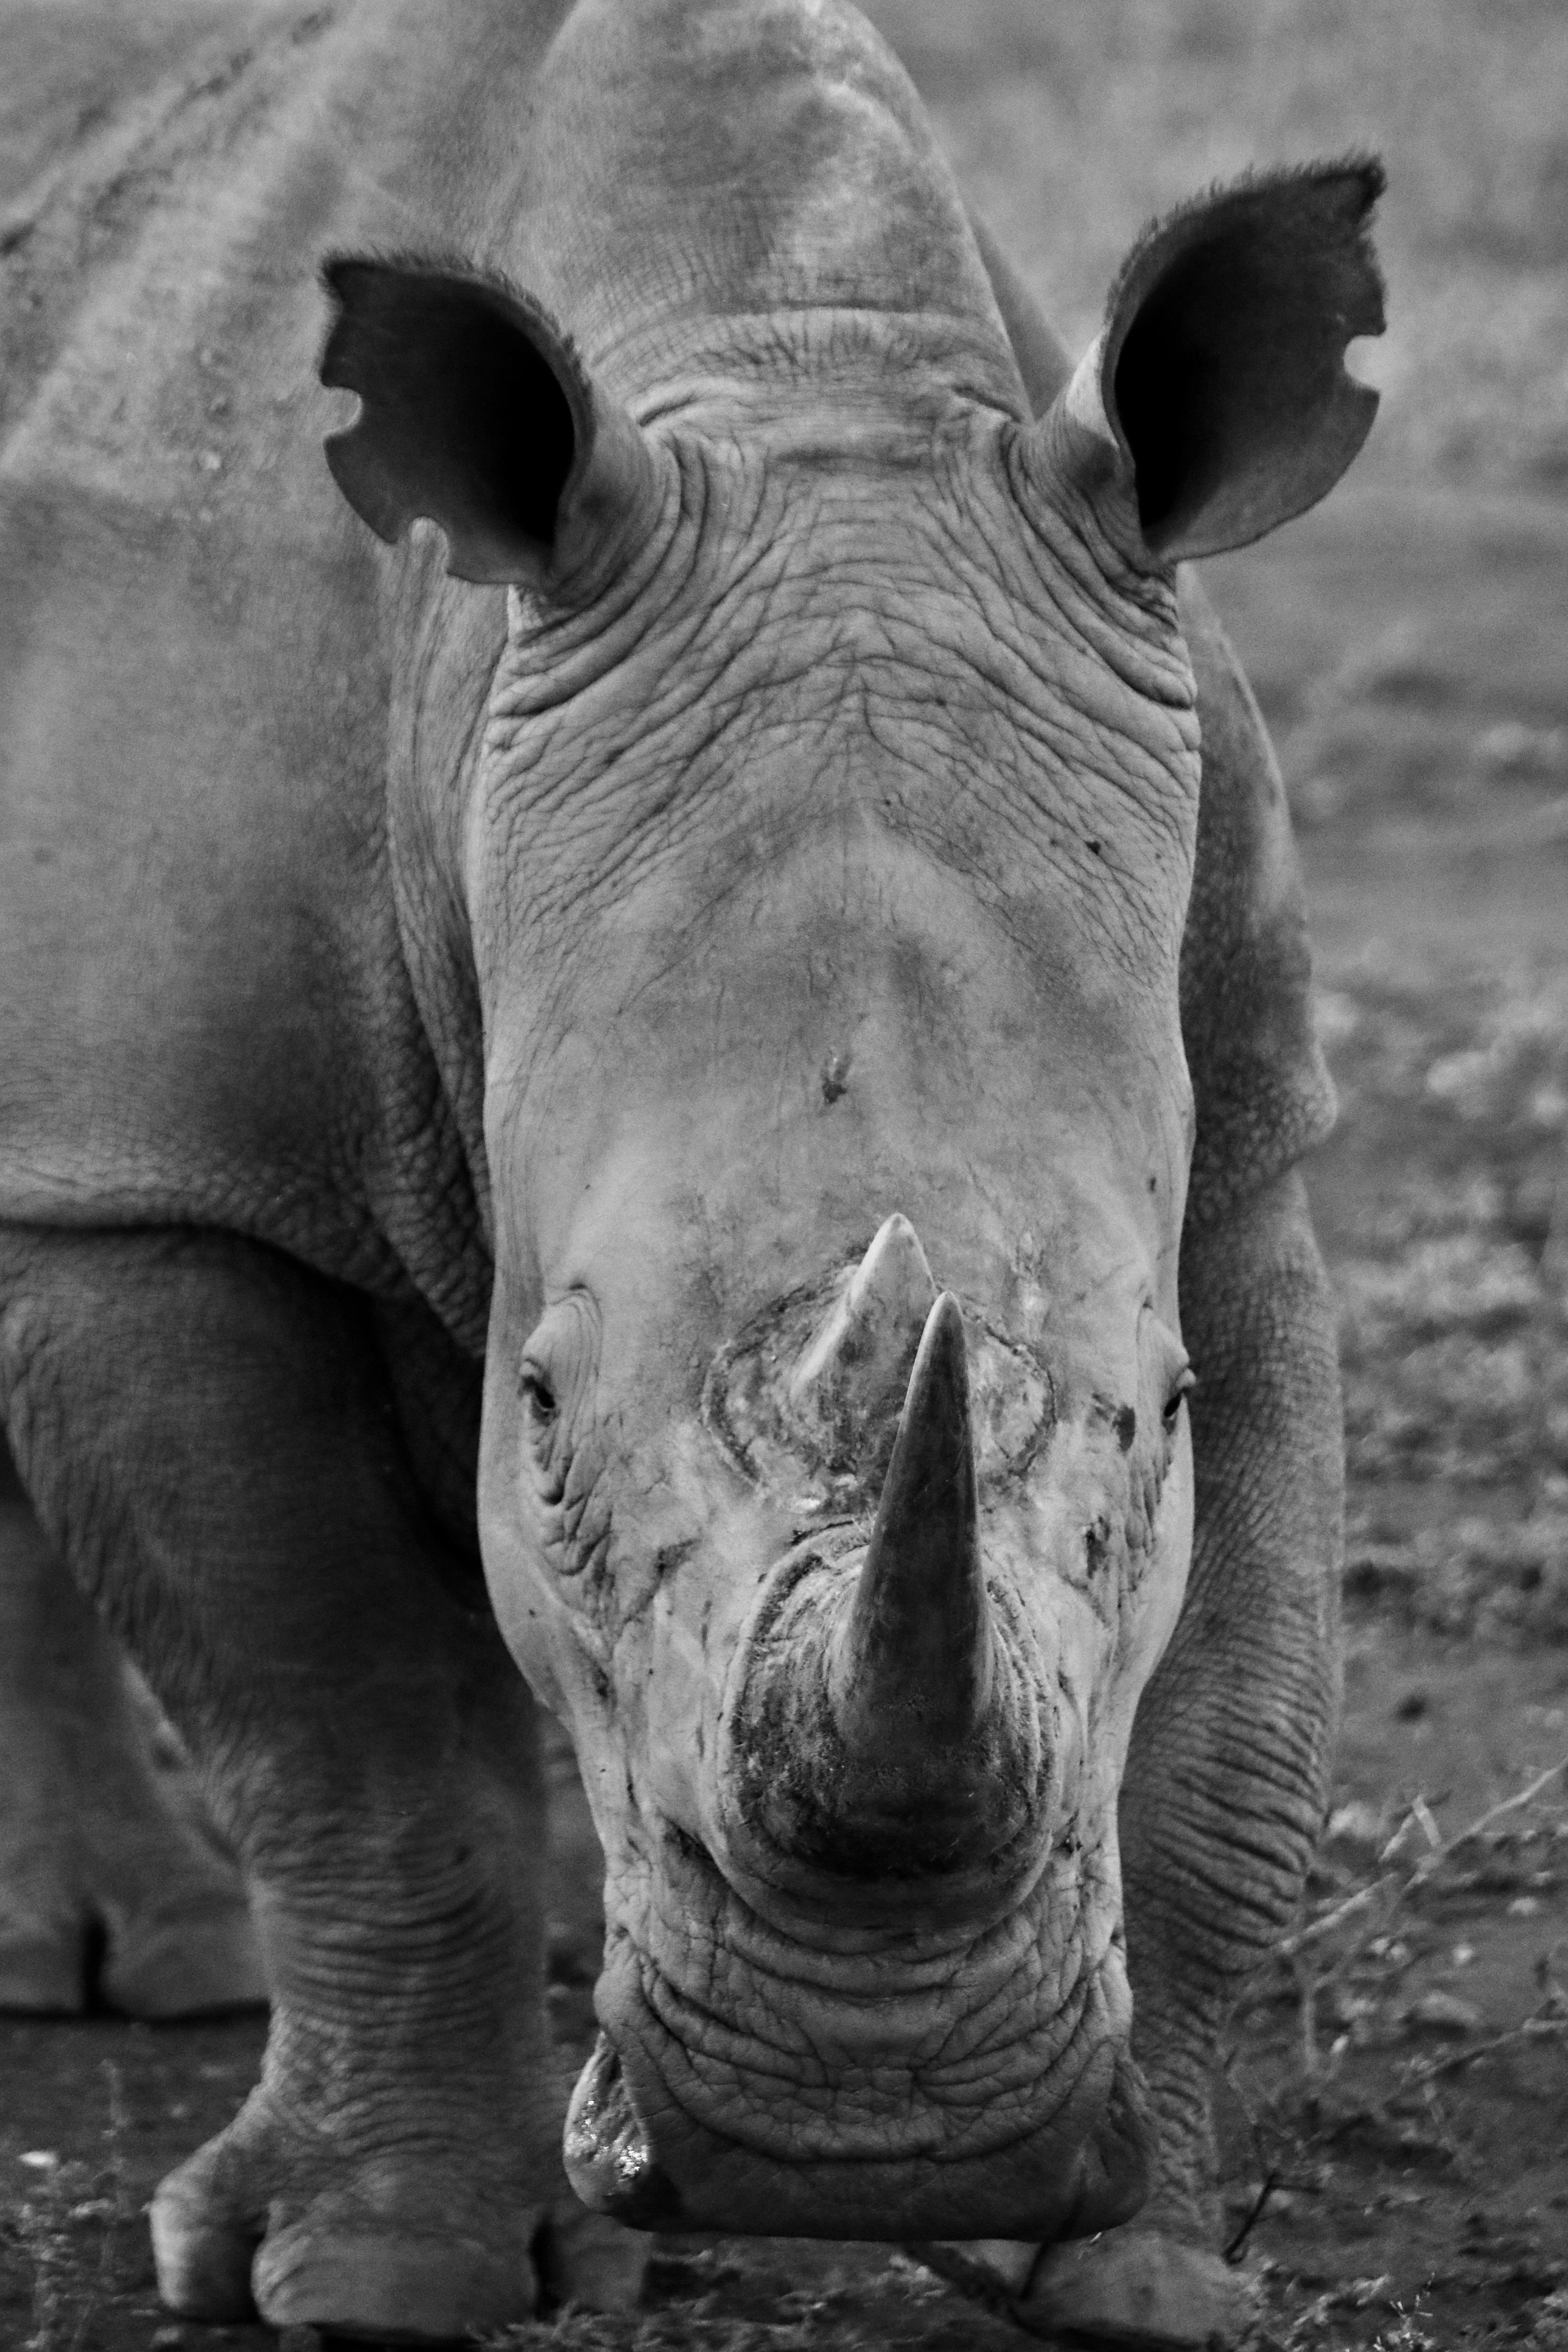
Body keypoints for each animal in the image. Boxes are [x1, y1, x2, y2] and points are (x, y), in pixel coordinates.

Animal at [0, 0, 1379, 2341]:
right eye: (541, 1414)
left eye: (1161, 1414)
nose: (868, 2137)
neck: (788, 369)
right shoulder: (174, 1157)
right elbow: (351, 1739)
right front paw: (367, 2275)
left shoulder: (1243, 1138)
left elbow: (1230, 1748)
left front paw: (1141, 2275)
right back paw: (136, 1976)